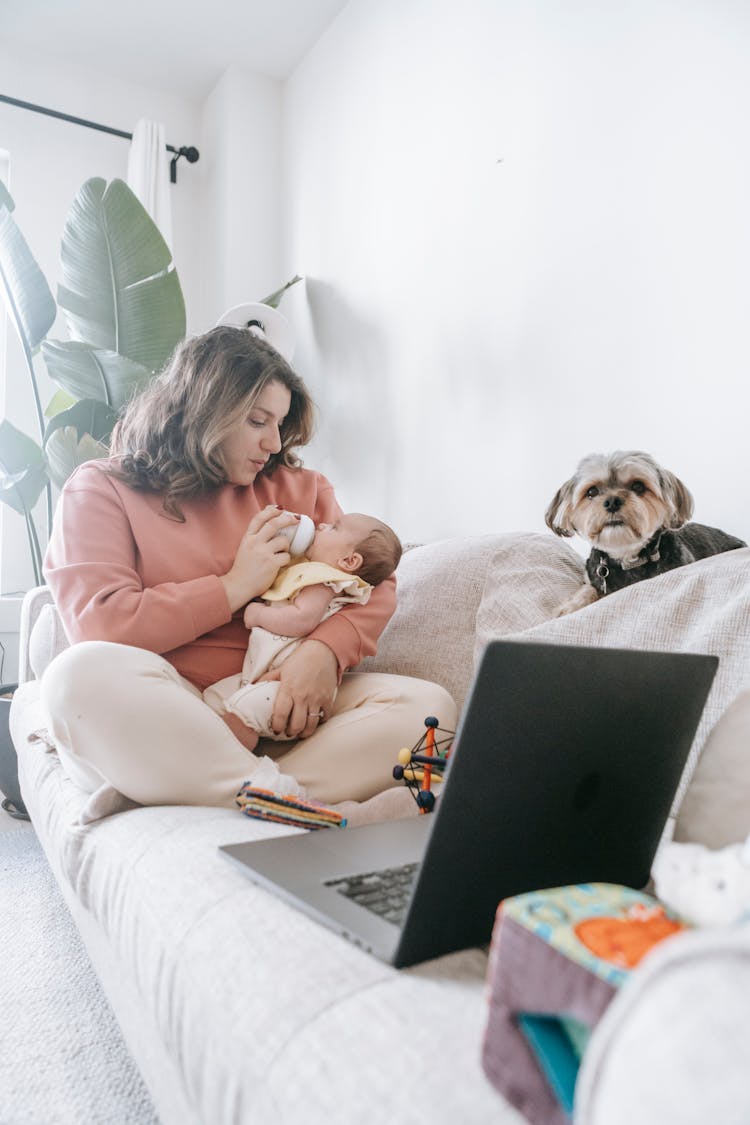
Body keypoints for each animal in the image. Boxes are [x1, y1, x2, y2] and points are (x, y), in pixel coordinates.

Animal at [546, 450, 746, 616]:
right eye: (592, 491)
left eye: (638, 486)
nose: (612, 502)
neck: (627, 557)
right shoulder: (593, 576)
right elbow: (588, 588)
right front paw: (570, 606)